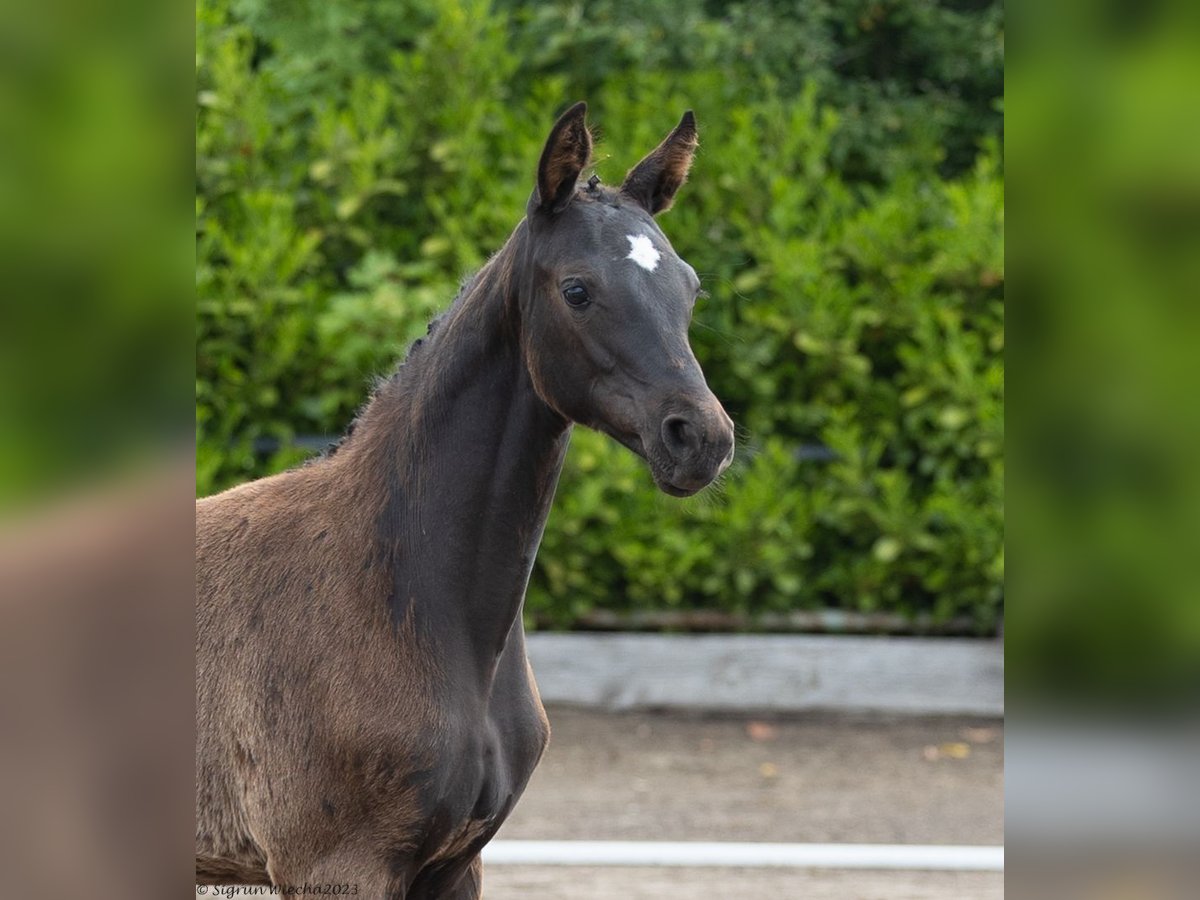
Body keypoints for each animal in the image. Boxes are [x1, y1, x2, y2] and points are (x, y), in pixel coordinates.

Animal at [199, 103, 729, 900]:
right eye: (577, 289)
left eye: (689, 288)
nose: (702, 438)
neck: (404, 593)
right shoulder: (336, 869)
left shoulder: (456, 865)